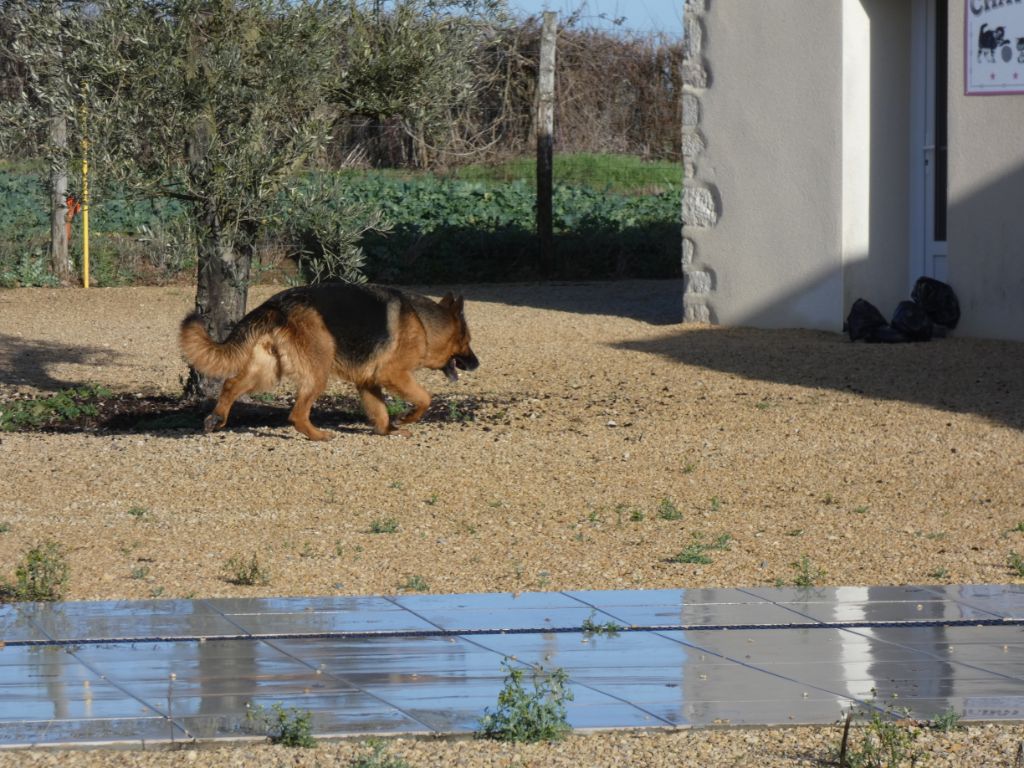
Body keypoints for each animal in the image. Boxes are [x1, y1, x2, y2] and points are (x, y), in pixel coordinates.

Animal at [179, 282, 479, 440]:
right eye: (467, 340)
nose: (477, 363)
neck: (425, 323)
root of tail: (276, 304)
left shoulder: (368, 383)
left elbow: (380, 411)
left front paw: (388, 430)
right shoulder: (393, 374)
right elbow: (425, 398)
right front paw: (407, 419)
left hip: (267, 372)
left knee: (230, 385)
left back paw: (216, 417)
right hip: (317, 373)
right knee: (297, 414)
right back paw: (318, 435)